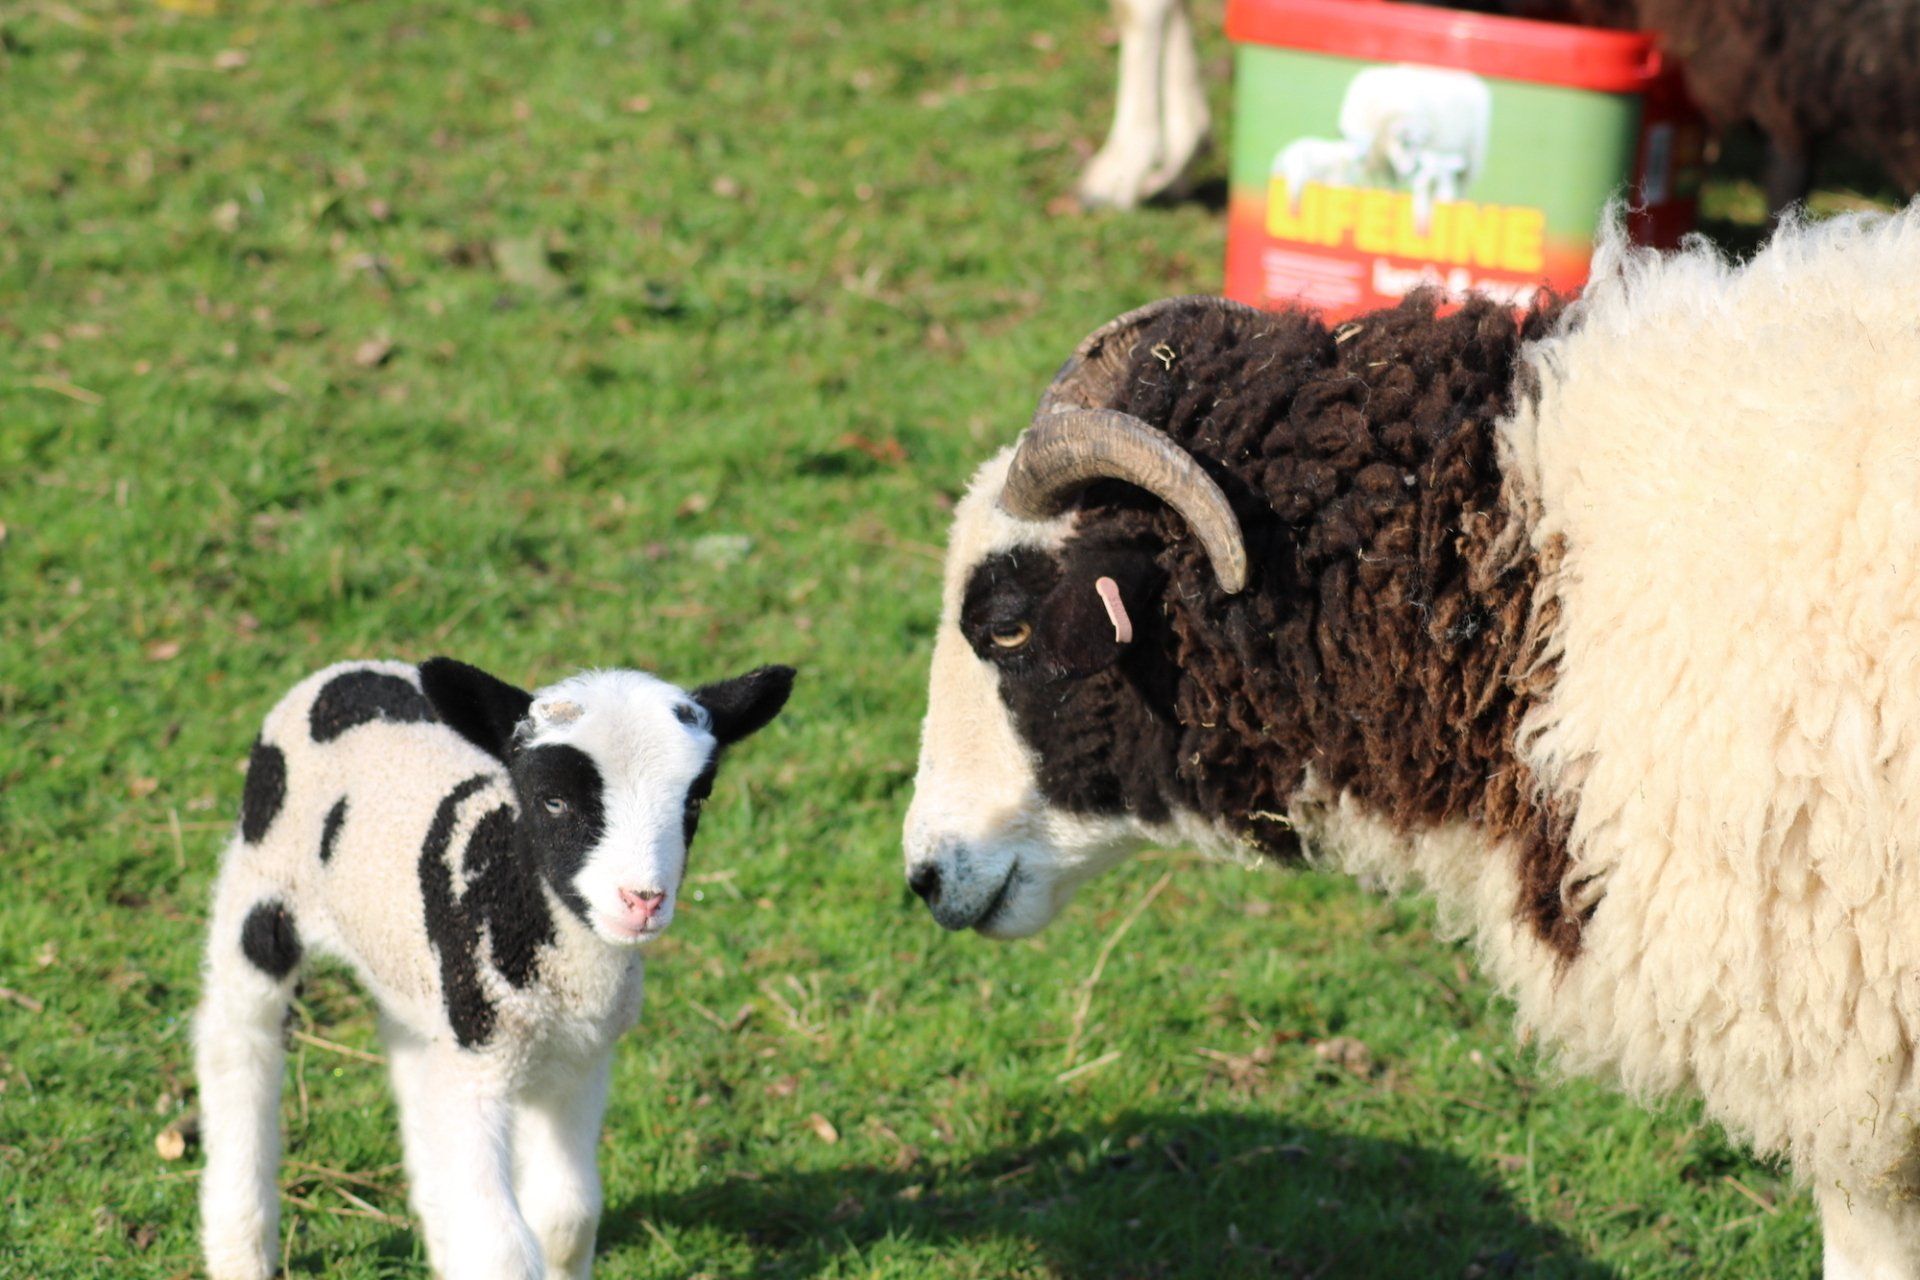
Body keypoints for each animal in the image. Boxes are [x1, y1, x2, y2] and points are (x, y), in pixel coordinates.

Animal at [196, 656, 793, 1280]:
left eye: (696, 800)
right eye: (553, 801)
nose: (643, 900)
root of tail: (350, 669)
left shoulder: (577, 1059)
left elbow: (567, 1217)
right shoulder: (480, 1063)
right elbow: (502, 1249)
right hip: (261, 893)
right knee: (237, 1043)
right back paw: (240, 1250)